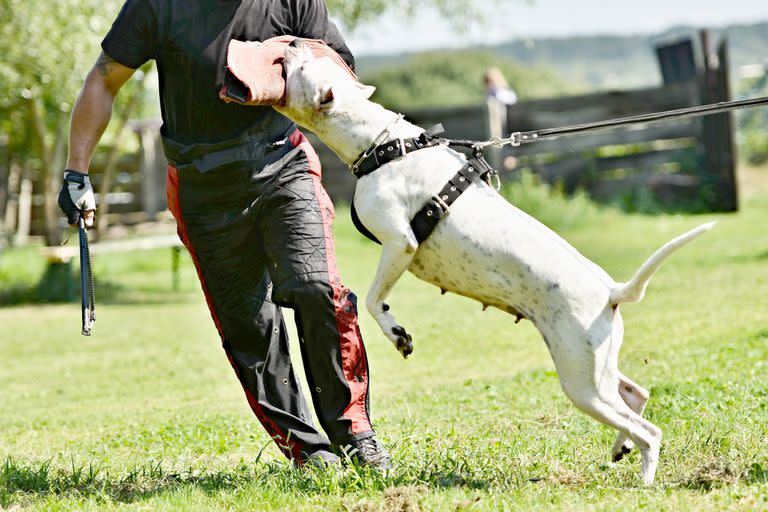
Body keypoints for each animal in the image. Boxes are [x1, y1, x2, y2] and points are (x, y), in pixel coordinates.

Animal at [274, 41, 712, 484]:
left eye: (304, 67)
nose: (293, 43)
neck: (383, 145)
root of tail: (611, 292)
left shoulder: (400, 244)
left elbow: (372, 299)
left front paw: (398, 334)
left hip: (582, 382)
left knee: (649, 431)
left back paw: (644, 481)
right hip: (593, 367)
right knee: (636, 395)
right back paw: (622, 446)